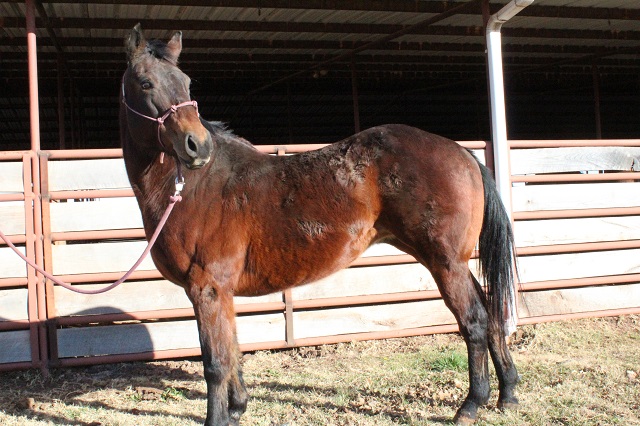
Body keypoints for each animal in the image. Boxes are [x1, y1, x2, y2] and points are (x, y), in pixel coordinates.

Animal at [120, 25, 520, 424]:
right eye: (145, 82)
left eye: (186, 83)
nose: (198, 146)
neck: (196, 186)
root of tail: (462, 152)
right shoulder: (221, 292)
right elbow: (232, 351)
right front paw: (236, 408)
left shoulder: (207, 287)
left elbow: (216, 362)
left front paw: (218, 418)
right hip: (453, 262)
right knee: (491, 314)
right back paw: (508, 393)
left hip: (446, 262)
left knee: (474, 320)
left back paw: (471, 404)